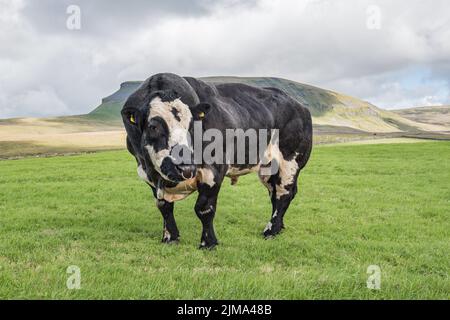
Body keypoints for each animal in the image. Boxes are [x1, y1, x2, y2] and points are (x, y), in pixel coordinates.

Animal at [123, 73, 312, 250]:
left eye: (192, 125)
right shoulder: (147, 173)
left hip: (290, 160)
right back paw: (279, 227)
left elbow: (204, 208)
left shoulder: (213, 169)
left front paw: (208, 243)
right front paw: (170, 238)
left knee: (284, 193)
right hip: (268, 168)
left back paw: (271, 231)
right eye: (153, 126)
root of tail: (299, 105)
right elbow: (164, 207)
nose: (185, 167)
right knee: (275, 193)